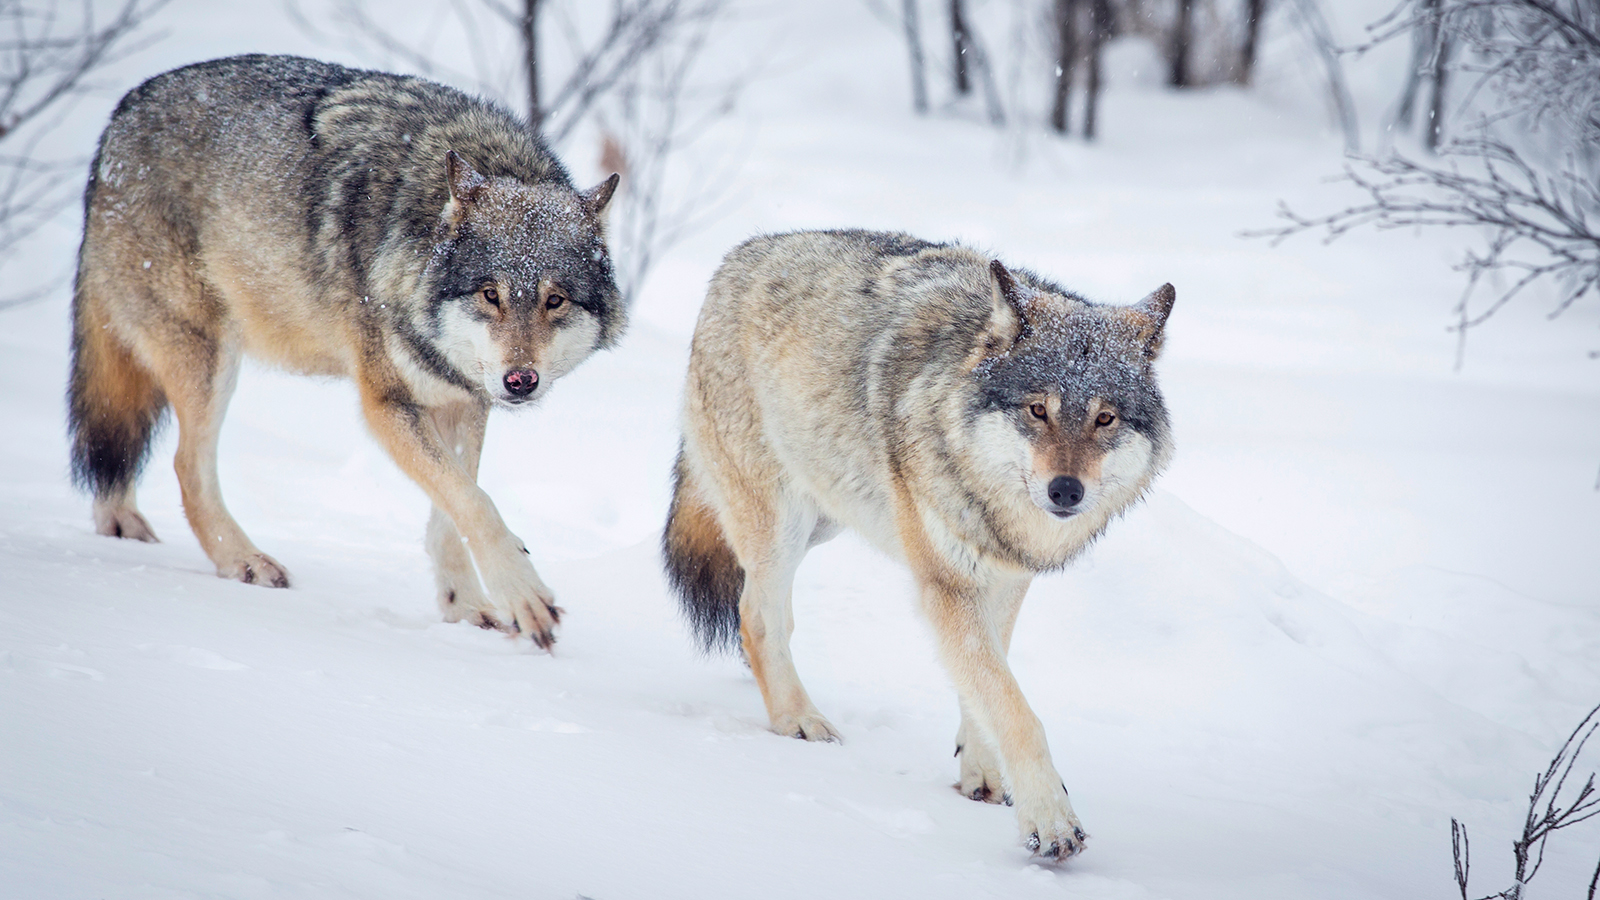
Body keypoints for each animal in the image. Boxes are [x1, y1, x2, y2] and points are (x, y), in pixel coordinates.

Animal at [67, 54, 626, 648]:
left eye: (554, 300)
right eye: (490, 295)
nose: (520, 381)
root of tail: (119, 116)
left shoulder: (462, 401)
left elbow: (453, 509)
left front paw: (466, 607)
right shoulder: (386, 404)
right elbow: (476, 502)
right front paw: (522, 594)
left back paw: (121, 526)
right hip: (207, 359)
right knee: (184, 467)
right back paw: (244, 561)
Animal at [663, 230, 1174, 858]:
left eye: (1105, 419)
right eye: (1038, 410)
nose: (1065, 491)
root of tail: (740, 254)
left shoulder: (1004, 581)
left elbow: (989, 683)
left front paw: (983, 774)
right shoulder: (947, 587)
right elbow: (1015, 708)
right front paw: (1050, 820)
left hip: (826, 518)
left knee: (758, 611)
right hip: (781, 523)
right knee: (757, 615)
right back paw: (798, 721)